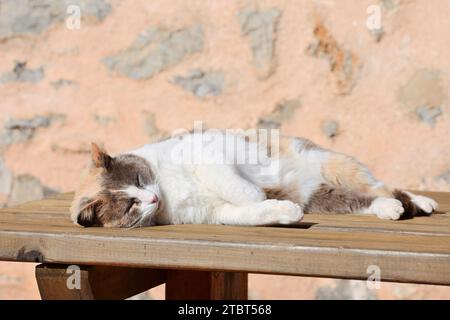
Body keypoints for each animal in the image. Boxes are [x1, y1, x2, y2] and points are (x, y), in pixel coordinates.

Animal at [69, 129, 436, 229]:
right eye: (129, 205)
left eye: (140, 178)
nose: (153, 198)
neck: (170, 194)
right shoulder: (216, 214)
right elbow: (251, 212)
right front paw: (284, 211)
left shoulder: (209, 153)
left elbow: (236, 186)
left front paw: (260, 194)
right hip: (324, 197)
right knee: (368, 198)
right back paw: (389, 209)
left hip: (334, 164)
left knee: (384, 186)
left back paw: (423, 203)